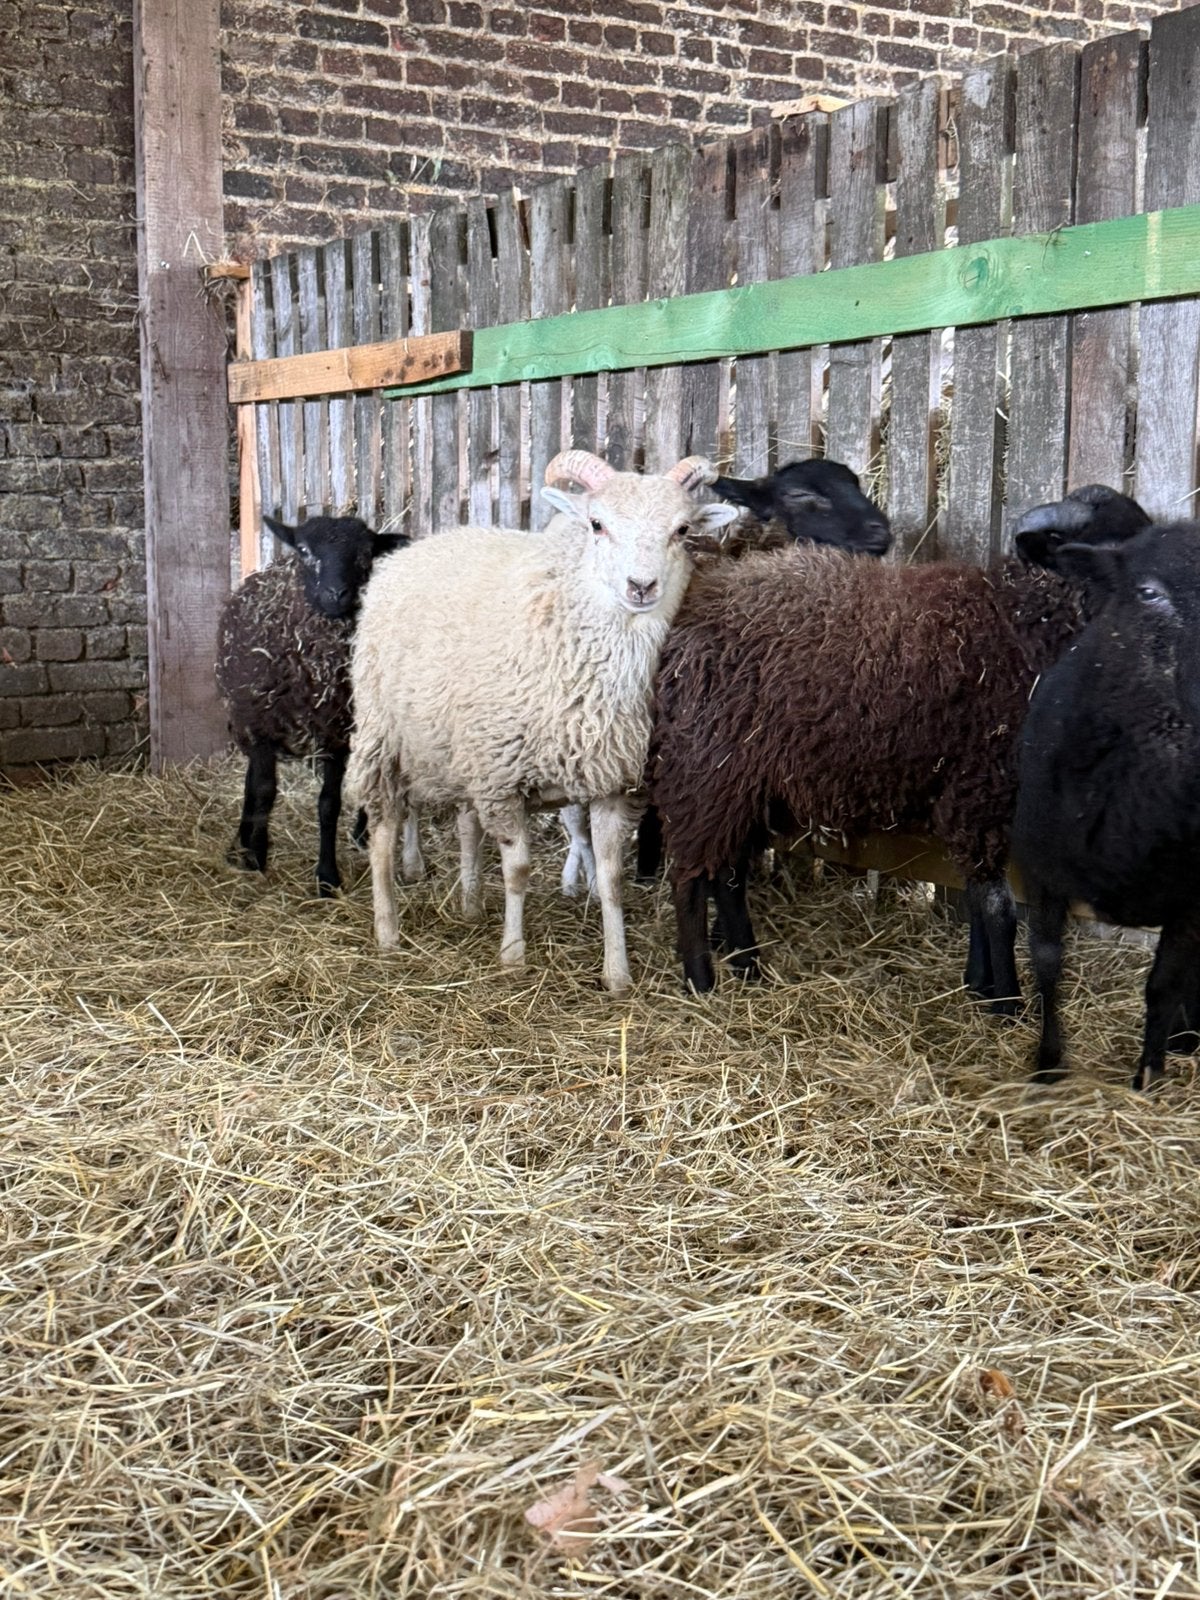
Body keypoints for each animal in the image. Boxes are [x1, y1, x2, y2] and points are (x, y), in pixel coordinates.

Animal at [215, 513, 410, 895]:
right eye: (304, 550)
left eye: (366, 553)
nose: (337, 594)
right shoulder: (262, 723)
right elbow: (263, 790)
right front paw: (255, 854)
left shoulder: (337, 731)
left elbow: (329, 804)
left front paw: (327, 877)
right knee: (253, 781)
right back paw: (243, 839)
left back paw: (362, 833)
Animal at [347, 450, 739, 993]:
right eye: (597, 525)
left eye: (681, 530)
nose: (641, 587)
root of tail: (422, 544)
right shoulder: (502, 779)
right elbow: (518, 870)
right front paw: (513, 955)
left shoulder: (612, 783)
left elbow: (612, 879)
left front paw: (618, 973)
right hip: (383, 735)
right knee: (383, 831)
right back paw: (387, 931)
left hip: (461, 746)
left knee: (466, 825)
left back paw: (470, 904)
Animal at [646, 484, 1152, 1005]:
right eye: (1101, 550)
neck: (1023, 622)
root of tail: (695, 611)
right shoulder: (980, 792)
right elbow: (998, 907)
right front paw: (1006, 1001)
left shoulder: (969, 799)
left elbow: (976, 898)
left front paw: (978, 983)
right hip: (706, 769)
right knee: (689, 876)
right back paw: (700, 980)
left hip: (746, 784)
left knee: (727, 875)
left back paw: (748, 965)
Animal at [1012, 521, 1200, 1089]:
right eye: (1148, 592)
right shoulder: (1039, 868)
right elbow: (1047, 961)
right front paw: (1048, 1064)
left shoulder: (1192, 900)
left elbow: (1164, 984)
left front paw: (1150, 1076)